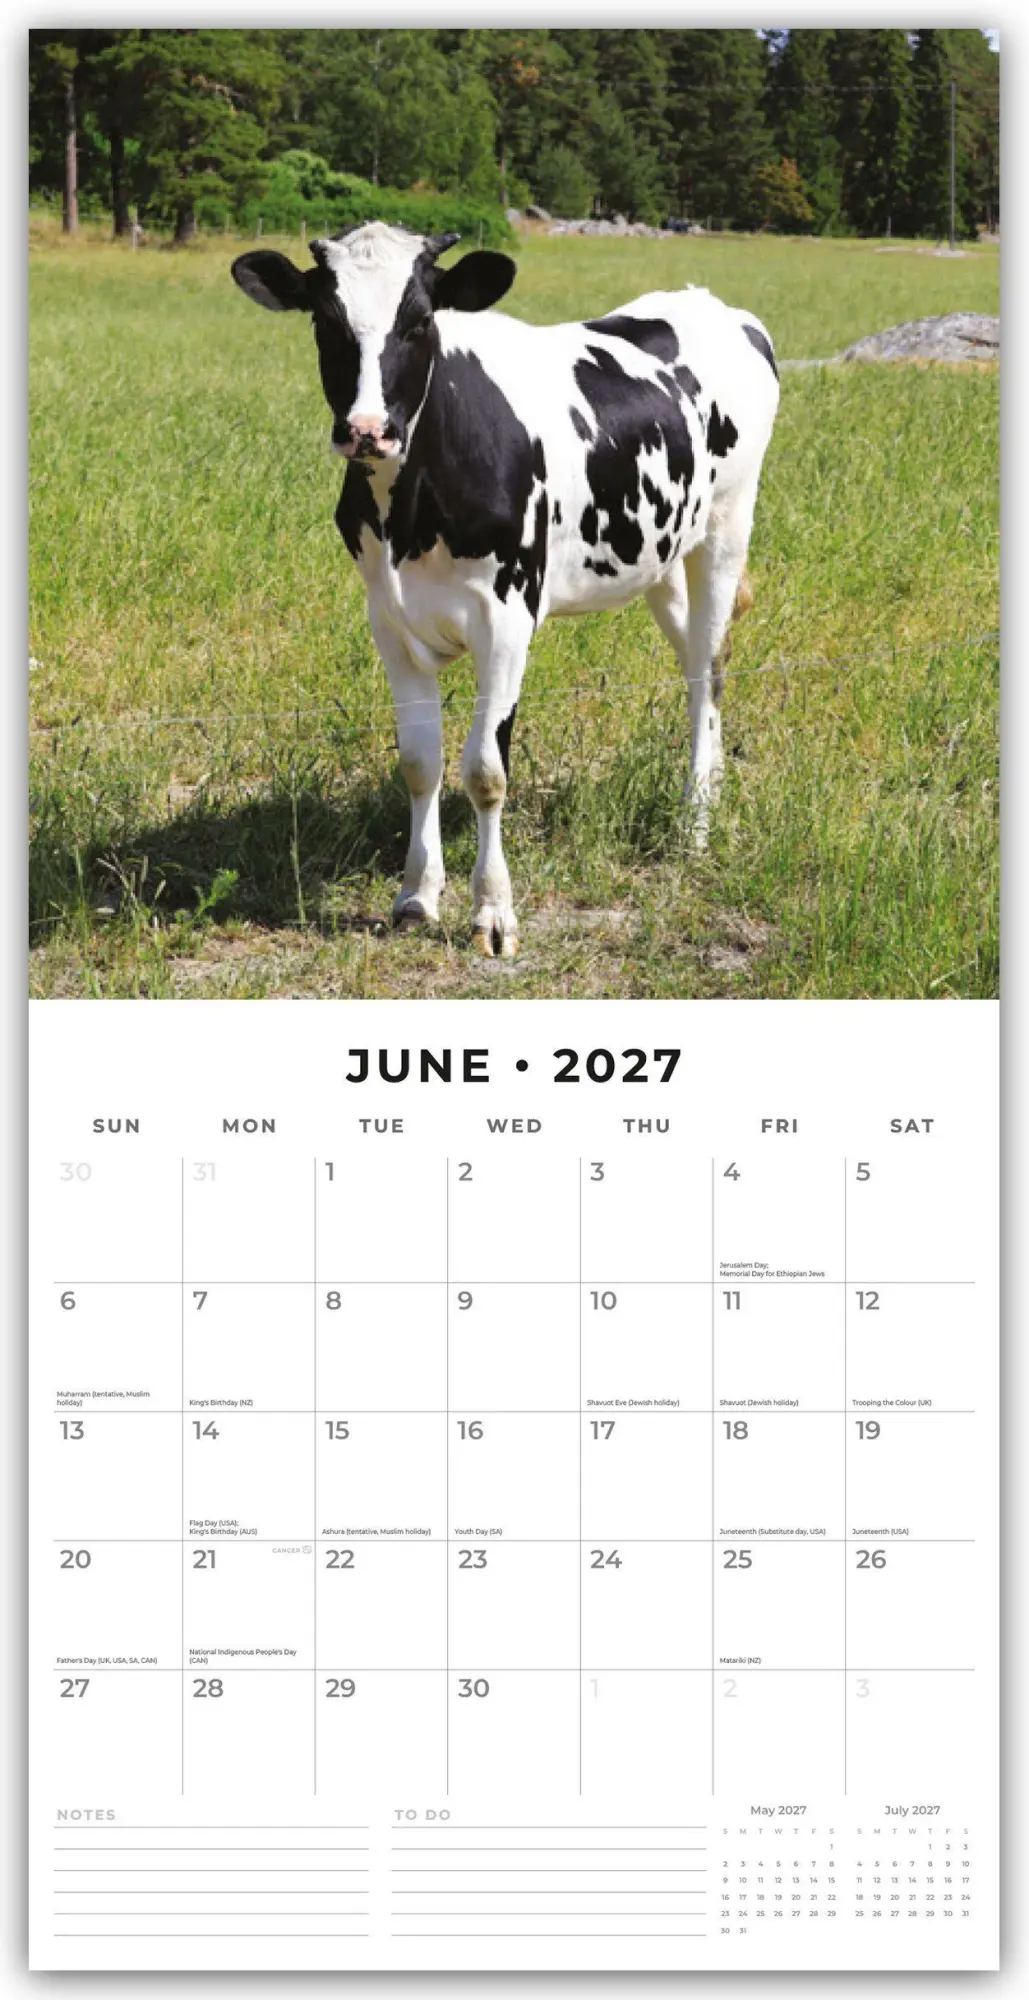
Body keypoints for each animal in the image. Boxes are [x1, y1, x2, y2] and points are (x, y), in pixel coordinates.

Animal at [232, 222, 779, 955]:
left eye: (419, 322)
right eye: (325, 320)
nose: (368, 431)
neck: (410, 508)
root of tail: (712, 302)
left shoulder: (507, 618)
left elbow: (485, 771)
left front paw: (492, 912)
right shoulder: (388, 620)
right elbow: (420, 762)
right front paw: (415, 896)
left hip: (725, 527)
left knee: (708, 673)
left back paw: (693, 824)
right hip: (660, 554)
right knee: (693, 657)